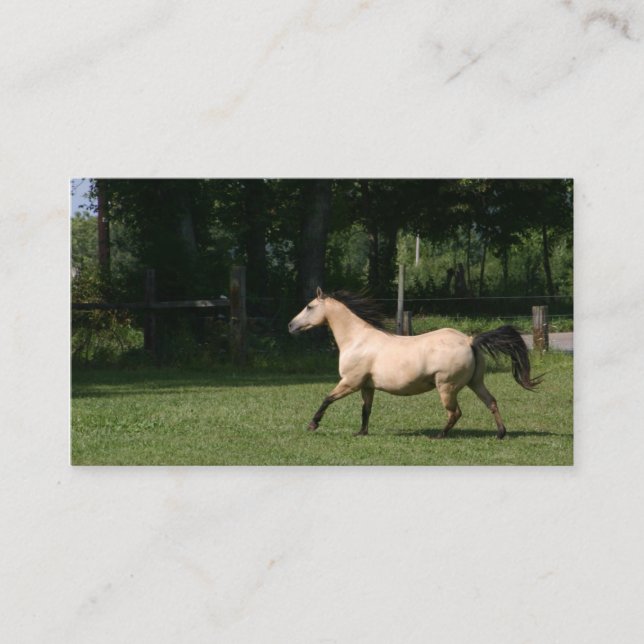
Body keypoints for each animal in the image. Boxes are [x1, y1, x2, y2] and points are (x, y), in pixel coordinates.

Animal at [287, 288, 542, 439]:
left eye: (309, 306)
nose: (291, 325)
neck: (357, 339)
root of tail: (469, 340)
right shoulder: (366, 386)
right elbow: (366, 410)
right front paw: (361, 432)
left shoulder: (350, 382)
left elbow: (327, 399)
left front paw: (312, 425)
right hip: (475, 383)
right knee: (491, 402)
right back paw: (500, 433)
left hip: (446, 387)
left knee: (455, 412)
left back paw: (439, 436)